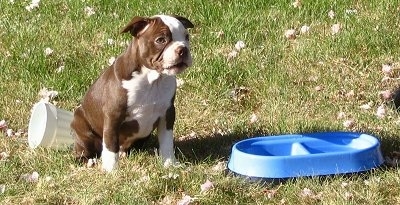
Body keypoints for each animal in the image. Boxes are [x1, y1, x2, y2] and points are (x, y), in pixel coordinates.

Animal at [71, 14, 195, 171]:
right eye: (161, 40)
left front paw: (170, 164)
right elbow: (111, 146)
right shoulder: (113, 116)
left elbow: (167, 142)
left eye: (187, 37)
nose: (183, 49)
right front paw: (111, 171)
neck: (152, 80)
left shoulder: (167, 113)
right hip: (82, 127)